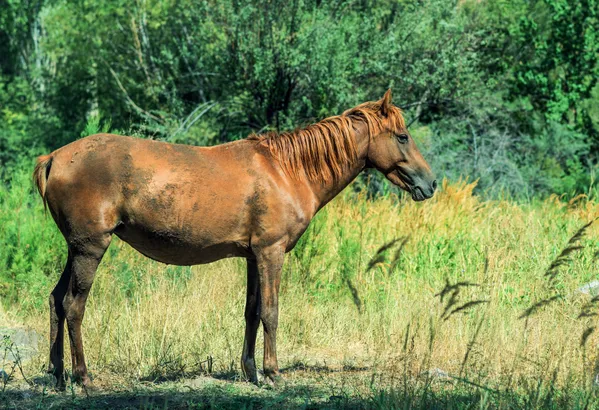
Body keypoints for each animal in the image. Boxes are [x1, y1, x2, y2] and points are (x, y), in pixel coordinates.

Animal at [32, 89, 436, 388]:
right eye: (402, 136)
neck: (286, 170)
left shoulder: (253, 256)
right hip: (90, 249)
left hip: (75, 249)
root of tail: (55, 157)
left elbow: (251, 312)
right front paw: (273, 374)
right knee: (73, 307)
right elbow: (271, 312)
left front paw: (251, 370)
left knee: (55, 301)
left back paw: (57, 376)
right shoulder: (272, 253)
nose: (430, 184)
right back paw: (83, 379)